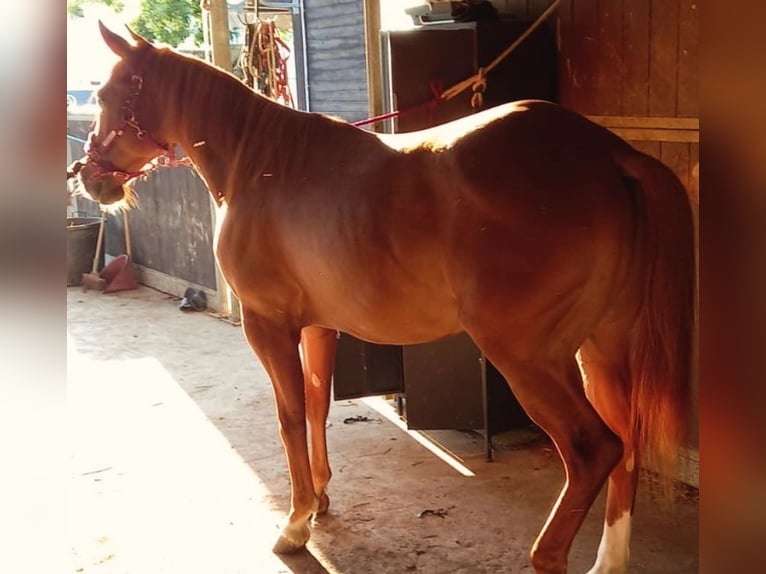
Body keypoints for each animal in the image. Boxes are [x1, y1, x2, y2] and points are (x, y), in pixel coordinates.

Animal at [68, 23, 695, 574]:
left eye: (106, 94)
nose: (87, 176)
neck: (261, 163)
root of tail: (607, 155)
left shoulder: (268, 326)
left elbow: (290, 417)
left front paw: (294, 525)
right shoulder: (317, 327)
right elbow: (316, 407)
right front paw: (318, 502)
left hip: (530, 358)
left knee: (595, 449)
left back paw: (546, 554)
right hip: (602, 351)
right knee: (627, 446)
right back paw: (607, 561)